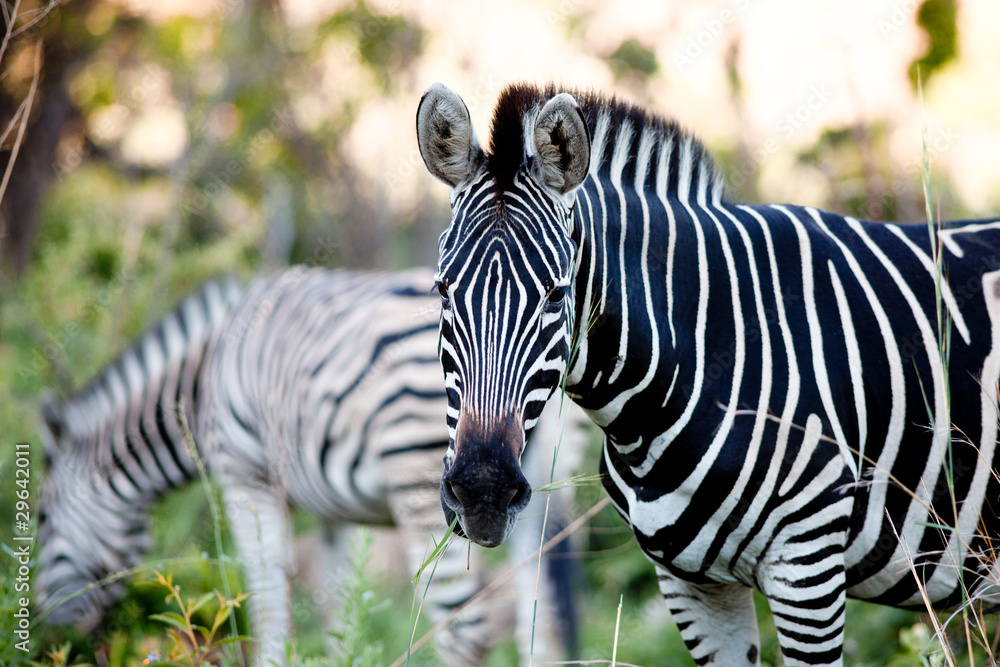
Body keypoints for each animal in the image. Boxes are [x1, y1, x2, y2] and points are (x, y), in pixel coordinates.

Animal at [36, 266, 588, 666]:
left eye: (40, 520)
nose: (46, 634)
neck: (198, 381)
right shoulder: (332, 508)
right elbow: (338, 602)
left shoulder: (245, 477)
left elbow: (267, 592)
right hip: (533, 497)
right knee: (546, 624)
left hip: (429, 490)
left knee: (467, 632)